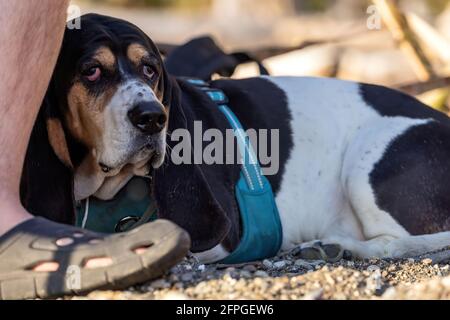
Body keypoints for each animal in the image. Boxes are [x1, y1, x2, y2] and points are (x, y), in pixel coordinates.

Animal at [21, 13, 450, 264]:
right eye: (91, 70)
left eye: (150, 69)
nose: (152, 119)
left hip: (368, 161)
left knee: (407, 240)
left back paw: (341, 247)